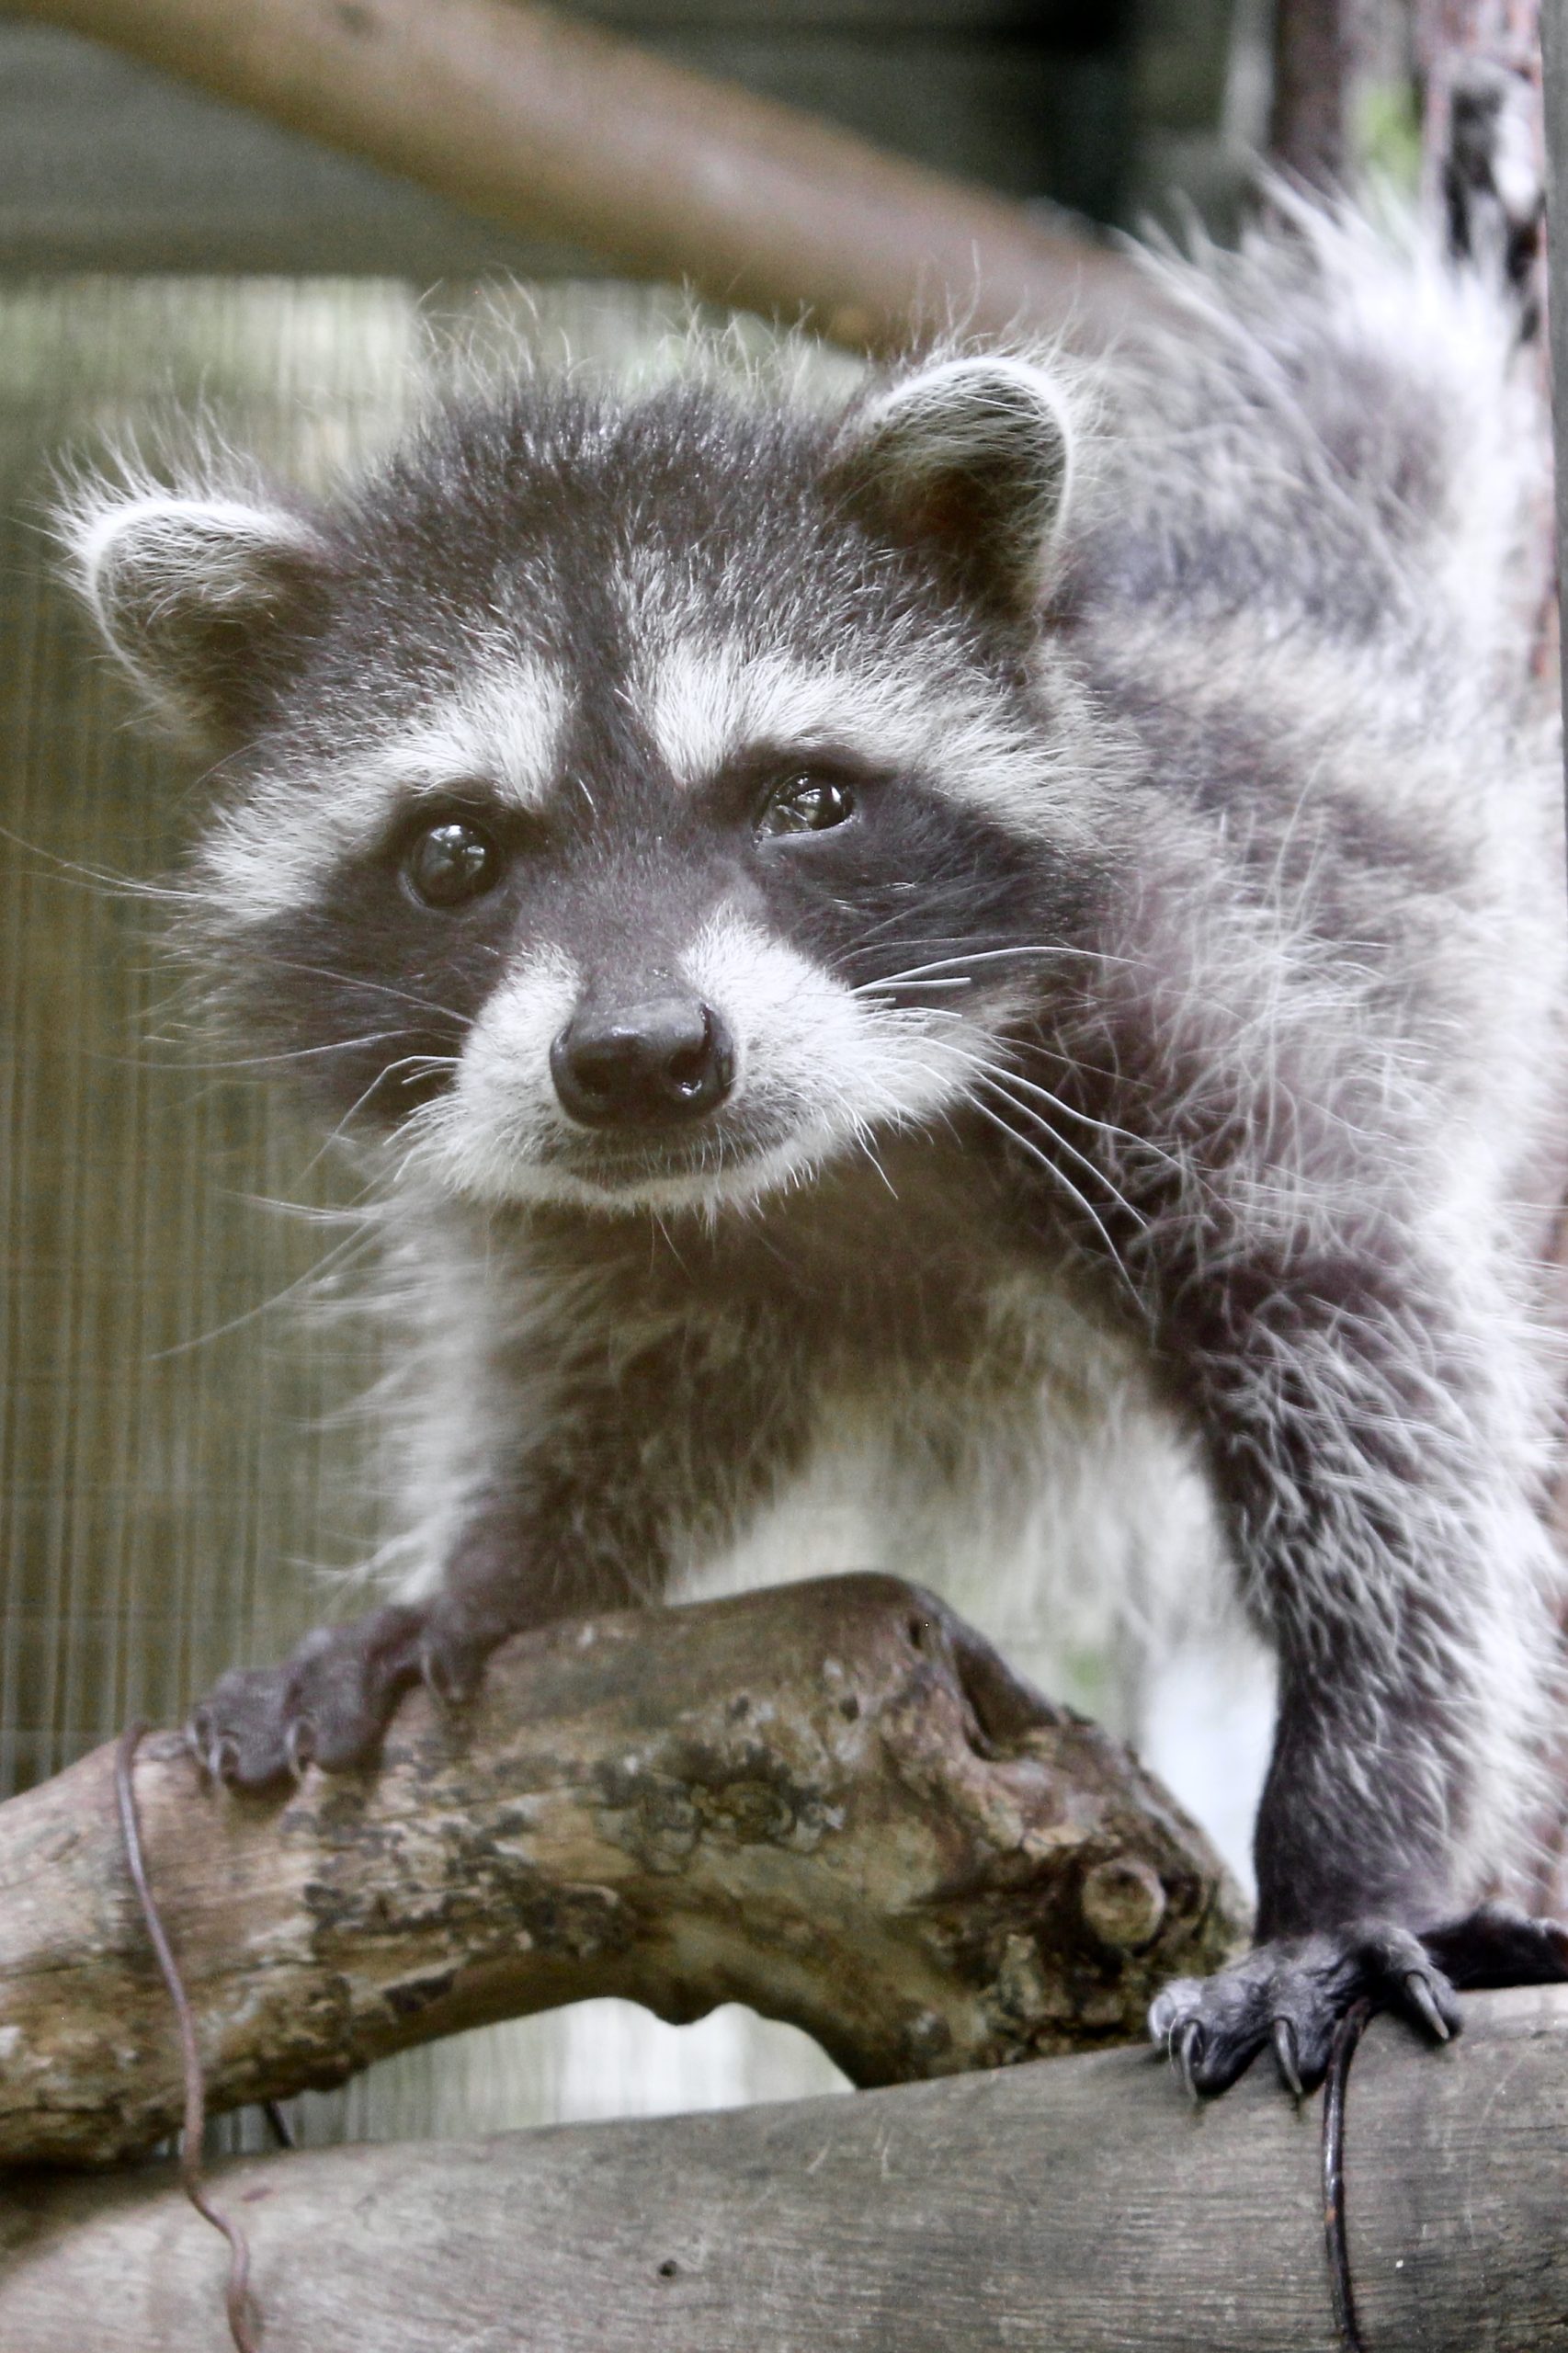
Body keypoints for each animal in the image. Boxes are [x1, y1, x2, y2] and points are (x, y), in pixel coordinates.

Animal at [64, 192, 1568, 2097]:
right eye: (456, 852)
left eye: (804, 798)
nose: (642, 1059)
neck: (834, 1152)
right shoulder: (580, 1208)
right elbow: (627, 1394)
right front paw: (493, 1579)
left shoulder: (1214, 1018)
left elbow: (1381, 1404)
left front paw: (1347, 1852)